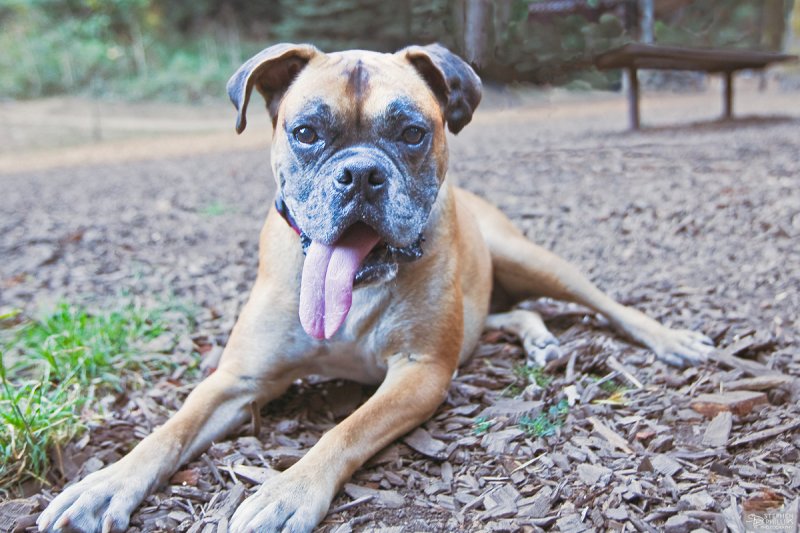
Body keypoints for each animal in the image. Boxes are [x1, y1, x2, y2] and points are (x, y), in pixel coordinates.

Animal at [36, 42, 712, 532]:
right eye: (306, 132)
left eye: (412, 133)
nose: (360, 173)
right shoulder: (236, 381)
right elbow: (169, 430)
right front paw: (104, 483)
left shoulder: (419, 373)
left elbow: (347, 428)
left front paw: (287, 490)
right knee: (505, 318)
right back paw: (540, 341)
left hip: (531, 258)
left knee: (606, 305)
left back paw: (667, 339)